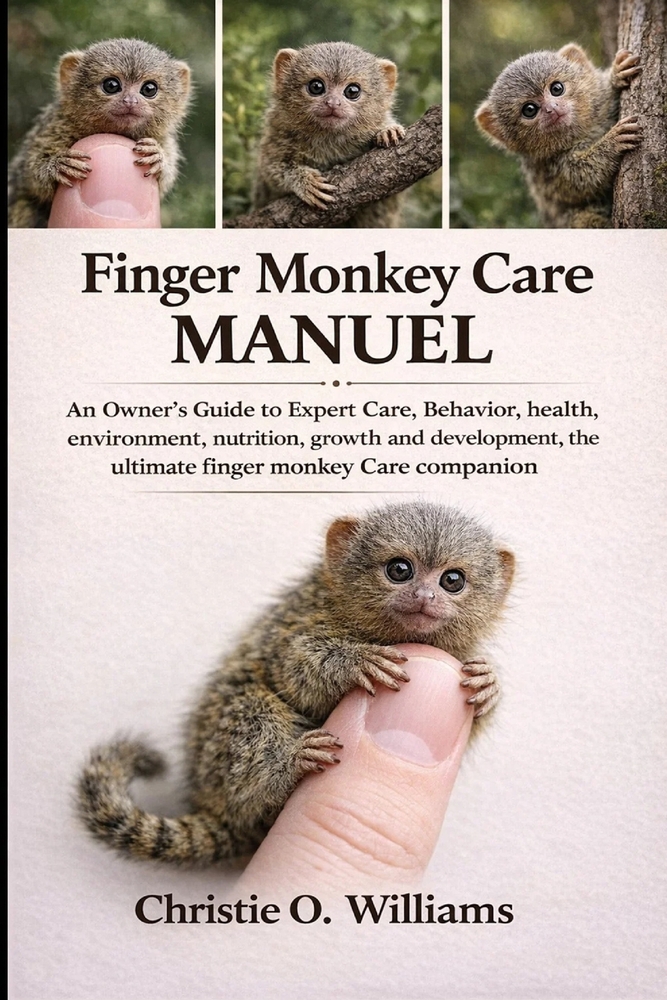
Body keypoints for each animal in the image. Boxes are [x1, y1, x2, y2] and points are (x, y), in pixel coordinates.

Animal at [8, 38, 191, 228]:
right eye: (111, 85)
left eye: (149, 89)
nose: (130, 101)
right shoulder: (53, 126)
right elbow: (29, 176)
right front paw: (57, 164)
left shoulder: (165, 141)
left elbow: (165, 179)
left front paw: (158, 157)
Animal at [78, 502, 515, 865]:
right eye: (399, 570)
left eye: (452, 580)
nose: (425, 596)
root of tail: (214, 807)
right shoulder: (300, 624)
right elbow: (292, 667)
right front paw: (356, 662)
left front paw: (489, 686)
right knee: (251, 709)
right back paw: (284, 768)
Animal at [252, 41, 405, 227]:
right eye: (316, 86)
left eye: (352, 91)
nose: (333, 103)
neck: (329, 140)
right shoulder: (276, 132)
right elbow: (270, 172)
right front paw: (304, 181)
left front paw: (388, 131)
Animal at [475, 44, 642, 228]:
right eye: (529, 110)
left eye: (556, 89)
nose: (551, 109)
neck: (584, 135)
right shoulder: (546, 168)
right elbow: (579, 182)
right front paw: (612, 143)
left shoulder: (603, 105)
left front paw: (615, 77)